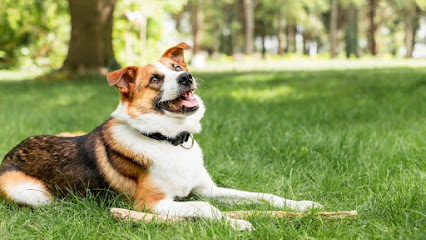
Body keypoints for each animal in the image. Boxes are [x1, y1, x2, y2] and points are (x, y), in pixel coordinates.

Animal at [0, 43, 320, 231]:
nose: (187, 77)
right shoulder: (151, 204)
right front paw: (234, 223)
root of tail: (10, 152)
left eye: (177, 68)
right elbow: (203, 207)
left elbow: (264, 196)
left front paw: (302, 206)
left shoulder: (207, 188)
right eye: (155, 79)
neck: (168, 139)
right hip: (32, 193)